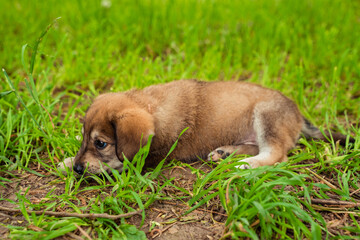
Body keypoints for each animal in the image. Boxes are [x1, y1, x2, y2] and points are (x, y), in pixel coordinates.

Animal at [60, 79, 352, 175]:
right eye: (87, 139)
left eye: (101, 144)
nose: (77, 169)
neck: (151, 106)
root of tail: (300, 116)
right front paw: (67, 159)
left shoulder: (148, 156)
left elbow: (116, 164)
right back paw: (225, 153)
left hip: (265, 115)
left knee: (276, 154)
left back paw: (244, 165)